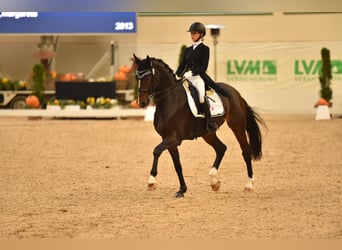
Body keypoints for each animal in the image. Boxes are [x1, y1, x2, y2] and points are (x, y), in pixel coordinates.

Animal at [134, 54, 268, 197]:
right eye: (137, 77)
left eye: (148, 77)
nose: (141, 103)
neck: (170, 100)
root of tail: (236, 93)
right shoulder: (167, 139)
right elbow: (177, 164)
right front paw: (182, 189)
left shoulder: (174, 138)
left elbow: (156, 151)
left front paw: (151, 181)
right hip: (208, 133)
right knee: (221, 148)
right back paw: (214, 182)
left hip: (237, 126)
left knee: (245, 151)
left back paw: (249, 184)